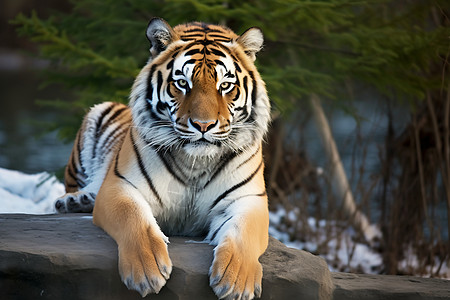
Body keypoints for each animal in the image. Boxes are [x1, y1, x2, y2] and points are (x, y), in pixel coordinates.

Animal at [54, 17, 268, 298]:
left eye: (225, 86)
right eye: (182, 83)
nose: (203, 125)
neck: (196, 162)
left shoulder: (249, 199)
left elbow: (244, 233)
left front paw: (236, 281)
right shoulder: (121, 186)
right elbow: (134, 217)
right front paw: (147, 270)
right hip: (95, 121)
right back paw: (73, 201)